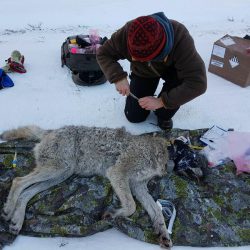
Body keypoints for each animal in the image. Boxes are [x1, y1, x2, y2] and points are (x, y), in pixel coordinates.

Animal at [0, 126, 172, 247]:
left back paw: (16, 221)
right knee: (18, 180)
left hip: (60, 175)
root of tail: (51, 131)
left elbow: (157, 211)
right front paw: (112, 214)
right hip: (56, 170)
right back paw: (8, 209)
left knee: (26, 193)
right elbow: (131, 206)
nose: (166, 172)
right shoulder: (117, 173)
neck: (154, 153)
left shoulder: (138, 186)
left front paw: (164, 234)